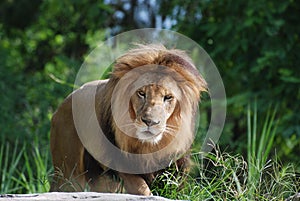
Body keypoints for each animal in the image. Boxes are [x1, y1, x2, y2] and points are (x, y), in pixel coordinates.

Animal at [49, 43, 209, 195]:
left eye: (168, 97)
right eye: (141, 93)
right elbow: (141, 188)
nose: (150, 122)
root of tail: (60, 106)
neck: (149, 146)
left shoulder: (176, 166)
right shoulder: (119, 162)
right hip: (68, 167)